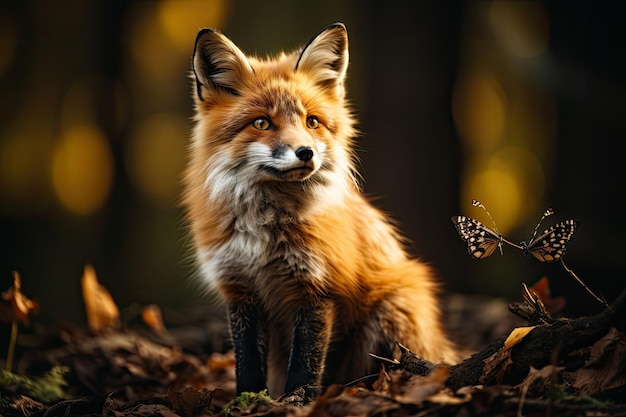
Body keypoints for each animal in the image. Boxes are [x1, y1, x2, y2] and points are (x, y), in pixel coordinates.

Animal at [183, 23, 456, 400]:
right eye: (262, 123)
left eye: (312, 122)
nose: (306, 152)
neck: (265, 231)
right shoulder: (239, 288)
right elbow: (248, 363)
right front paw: (247, 400)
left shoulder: (318, 287)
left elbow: (306, 362)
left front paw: (299, 401)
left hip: (394, 306)